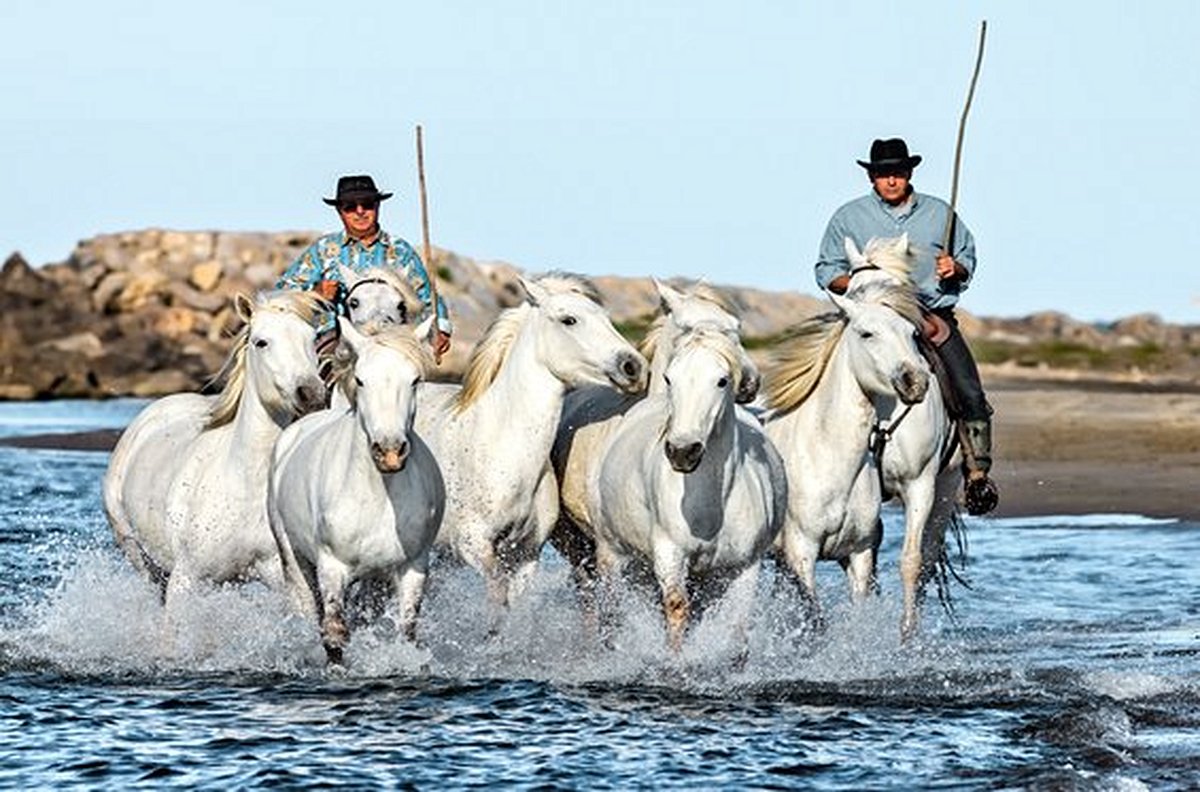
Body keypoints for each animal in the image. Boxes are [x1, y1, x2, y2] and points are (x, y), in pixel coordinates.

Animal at [102, 290, 328, 600]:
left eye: (311, 339)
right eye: (261, 342)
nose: (311, 393)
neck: (243, 487)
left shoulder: (287, 579)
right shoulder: (186, 579)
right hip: (136, 553)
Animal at [270, 316, 444, 662]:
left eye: (415, 380)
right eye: (361, 381)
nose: (389, 452)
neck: (378, 496)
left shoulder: (413, 568)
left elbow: (407, 634)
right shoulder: (331, 567)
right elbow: (335, 633)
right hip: (293, 559)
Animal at [417, 274, 652, 614]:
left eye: (608, 320)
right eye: (569, 320)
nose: (634, 367)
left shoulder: (526, 555)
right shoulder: (473, 544)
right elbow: (497, 598)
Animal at [583, 326, 787, 648]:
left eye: (721, 380)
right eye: (669, 378)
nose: (682, 451)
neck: (709, 508)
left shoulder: (744, 567)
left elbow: (738, 630)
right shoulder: (670, 554)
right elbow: (677, 609)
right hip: (612, 552)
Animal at [763, 234, 960, 638]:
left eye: (913, 331)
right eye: (866, 331)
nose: (914, 380)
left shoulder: (867, 543)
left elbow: (906, 564)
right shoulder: (801, 552)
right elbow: (815, 618)